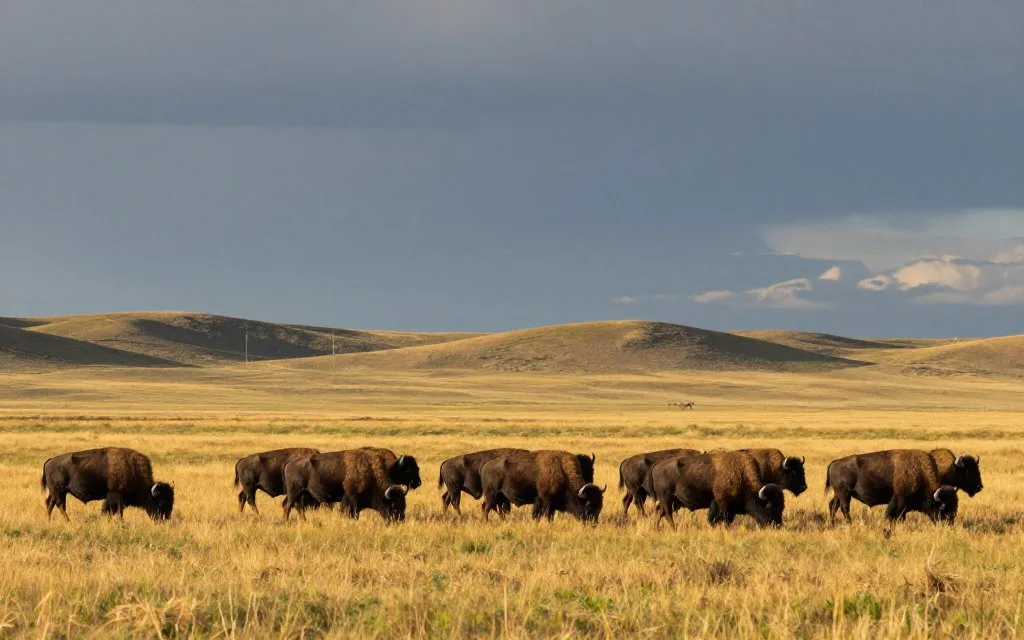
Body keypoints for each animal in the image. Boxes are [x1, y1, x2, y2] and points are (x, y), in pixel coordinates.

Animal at [42, 447, 174, 521]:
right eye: (161, 502)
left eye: (172, 502)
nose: (164, 520)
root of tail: (50, 461)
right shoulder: (115, 496)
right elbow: (113, 511)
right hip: (59, 491)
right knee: (60, 505)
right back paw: (68, 521)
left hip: (57, 492)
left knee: (50, 503)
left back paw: (49, 521)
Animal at [644, 451, 785, 528]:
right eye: (769, 506)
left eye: (782, 507)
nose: (777, 525)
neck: (741, 474)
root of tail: (657, 465)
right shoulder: (722, 503)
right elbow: (722, 518)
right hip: (666, 498)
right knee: (667, 514)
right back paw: (674, 529)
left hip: (671, 501)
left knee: (661, 513)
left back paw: (657, 528)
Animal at [825, 449, 959, 525]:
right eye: (942, 508)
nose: (949, 524)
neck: (920, 473)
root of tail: (836, 462)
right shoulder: (899, 500)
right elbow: (893, 514)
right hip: (844, 494)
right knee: (844, 508)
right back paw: (849, 524)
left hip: (839, 494)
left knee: (833, 506)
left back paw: (833, 524)